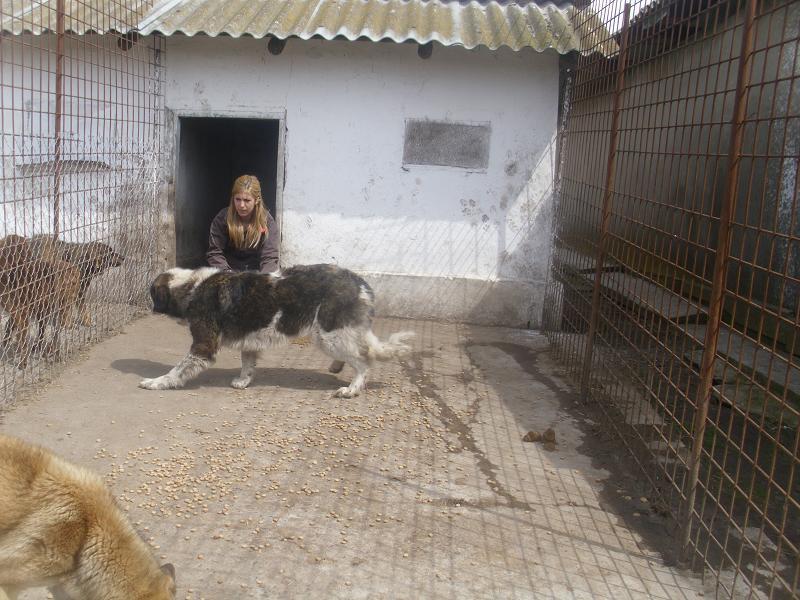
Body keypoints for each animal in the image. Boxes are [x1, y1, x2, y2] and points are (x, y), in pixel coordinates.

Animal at [139, 264, 412, 398]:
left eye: (152, 293)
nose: (150, 307)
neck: (192, 286)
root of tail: (361, 284)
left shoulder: (203, 347)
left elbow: (176, 371)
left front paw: (155, 383)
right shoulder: (248, 341)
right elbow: (248, 363)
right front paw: (244, 381)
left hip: (329, 335)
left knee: (363, 361)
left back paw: (352, 389)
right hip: (335, 335)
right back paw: (337, 367)